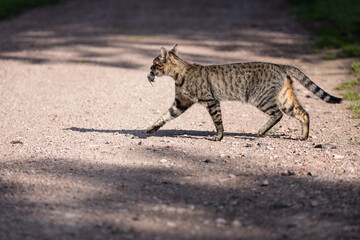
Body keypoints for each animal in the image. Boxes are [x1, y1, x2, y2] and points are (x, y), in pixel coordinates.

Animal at [146, 45, 340, 141]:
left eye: (154, 63)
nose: (149, 70)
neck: (180, 75)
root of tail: (279, 65)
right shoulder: (181, 102)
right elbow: (165, 116)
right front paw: (151, 128)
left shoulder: (211, 101)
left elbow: (218, 122)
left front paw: (219, 137)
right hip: (286, 99)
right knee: (303, 113)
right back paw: (303, 136)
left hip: (260, 99)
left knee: (278, 114)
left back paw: (262, 131)